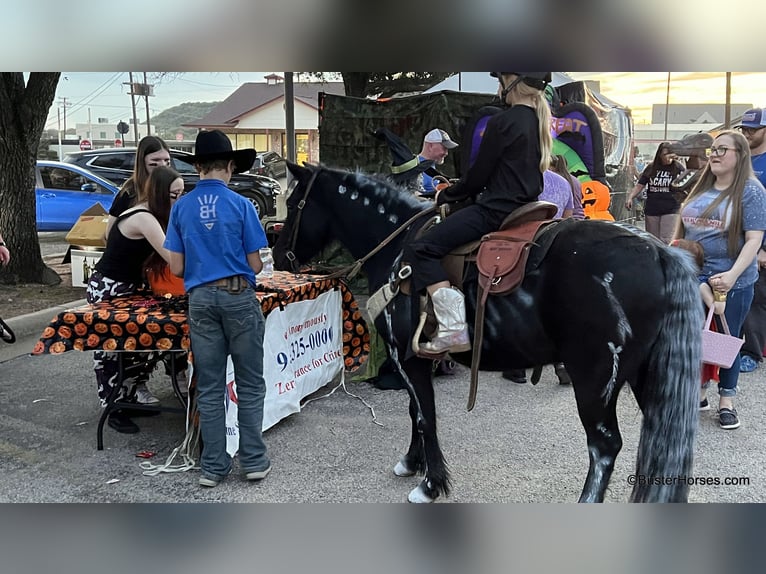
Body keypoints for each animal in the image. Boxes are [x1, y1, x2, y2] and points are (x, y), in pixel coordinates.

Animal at [272, 162, 704, 504]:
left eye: (293, 206)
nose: (277, 258)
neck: (397, 250)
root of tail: (660, 252)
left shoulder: (404, 356)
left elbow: (425, 416)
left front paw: (431, 484)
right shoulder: (415, 357)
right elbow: (415, 411)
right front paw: (412, 462)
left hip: (597, 378)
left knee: (604, 447)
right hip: (646, 374)